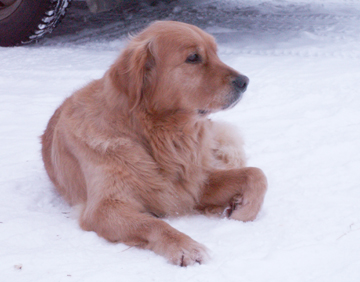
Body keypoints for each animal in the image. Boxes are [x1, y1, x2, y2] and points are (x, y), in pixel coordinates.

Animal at [42, 20, 268, 266]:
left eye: (216, 53)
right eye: (193, 57)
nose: (244, 81)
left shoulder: (193, 184)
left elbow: (257, 174)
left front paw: (241, 211)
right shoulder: (104, 207)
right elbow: (152, 223)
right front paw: (186, 247)